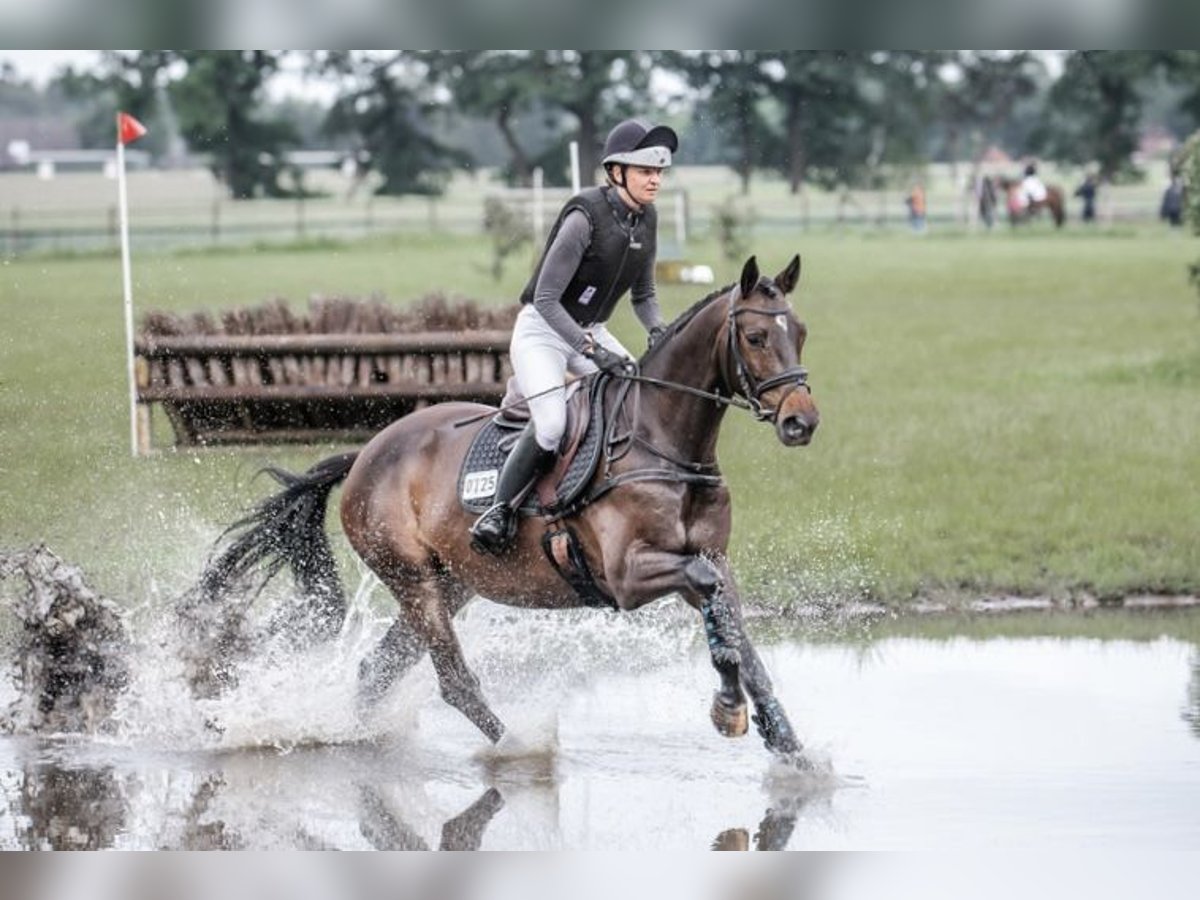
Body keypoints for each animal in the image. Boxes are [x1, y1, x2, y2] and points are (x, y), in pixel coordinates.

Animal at [196, 256, 820, 763]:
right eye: (757, 336)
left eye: (801, 332)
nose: (801, 422)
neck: (661, 442)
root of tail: (367, 454)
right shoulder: (628, 576)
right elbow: (714, 604)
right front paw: (728, 706)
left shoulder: (710, 558)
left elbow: (737, 632)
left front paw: (790, 748)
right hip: (414, 580)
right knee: (452, 679)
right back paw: (519, 748)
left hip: (450, 584)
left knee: (377, 670)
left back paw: (354, 736)